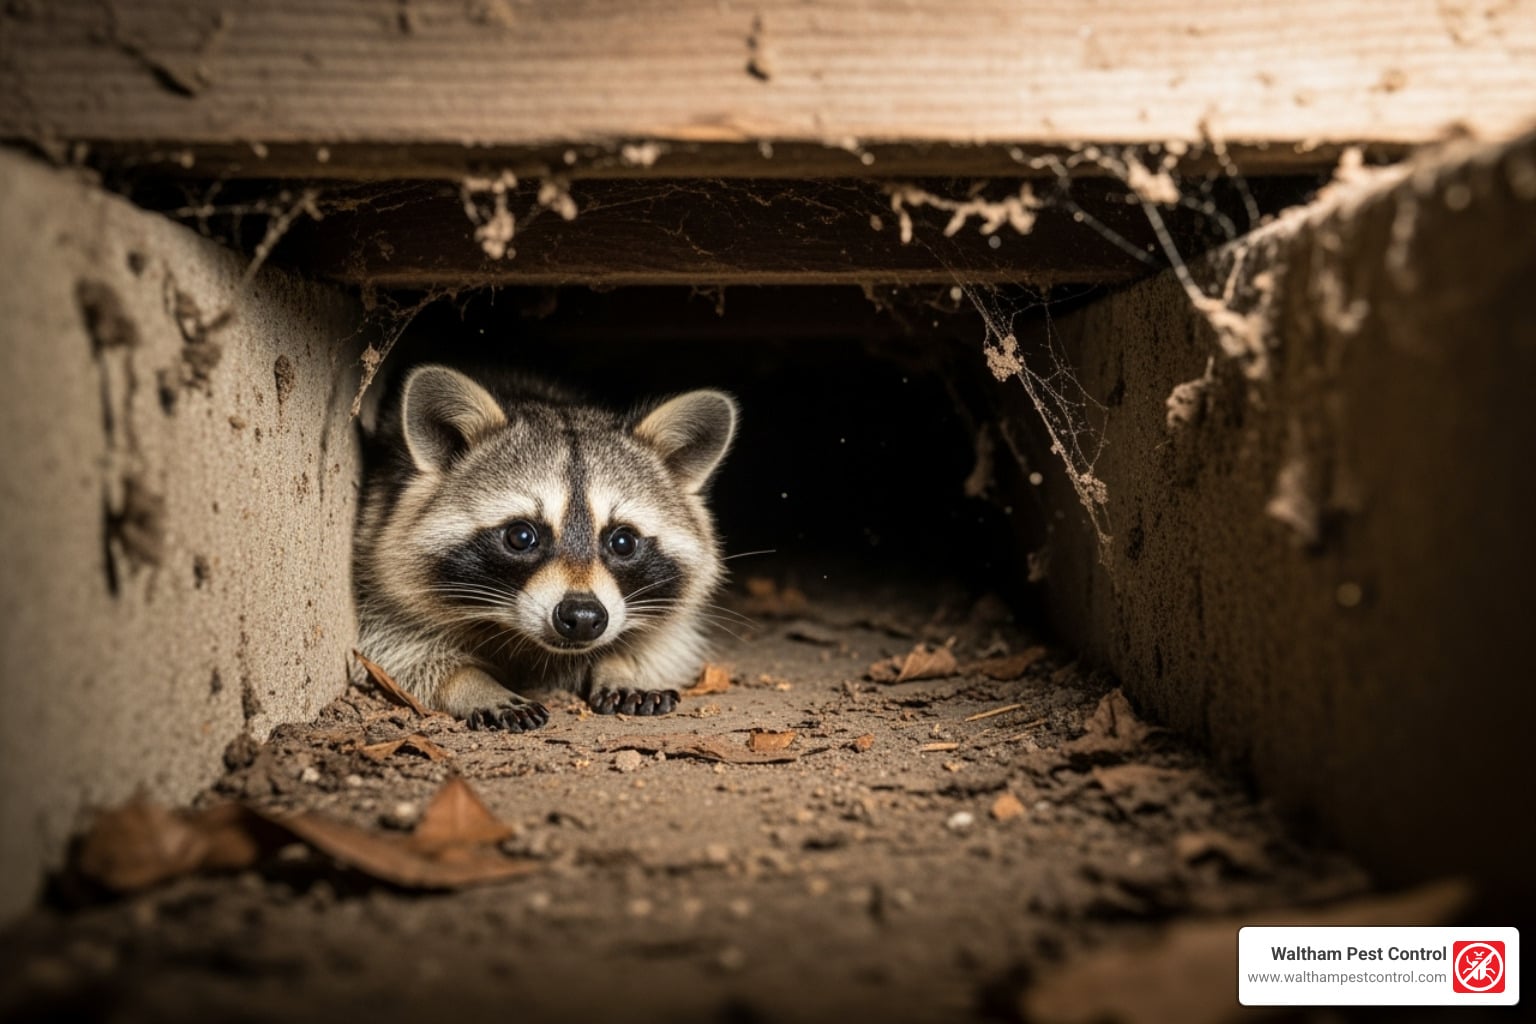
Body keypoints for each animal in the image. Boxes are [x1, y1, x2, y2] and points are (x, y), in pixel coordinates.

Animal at [353, 364, 738, 731]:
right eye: (521, 537)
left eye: (623, 542)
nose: (583, 618)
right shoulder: (375, 573)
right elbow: (397, 653)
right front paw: (472, 683)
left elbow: (663, 643)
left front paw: (621, 664)